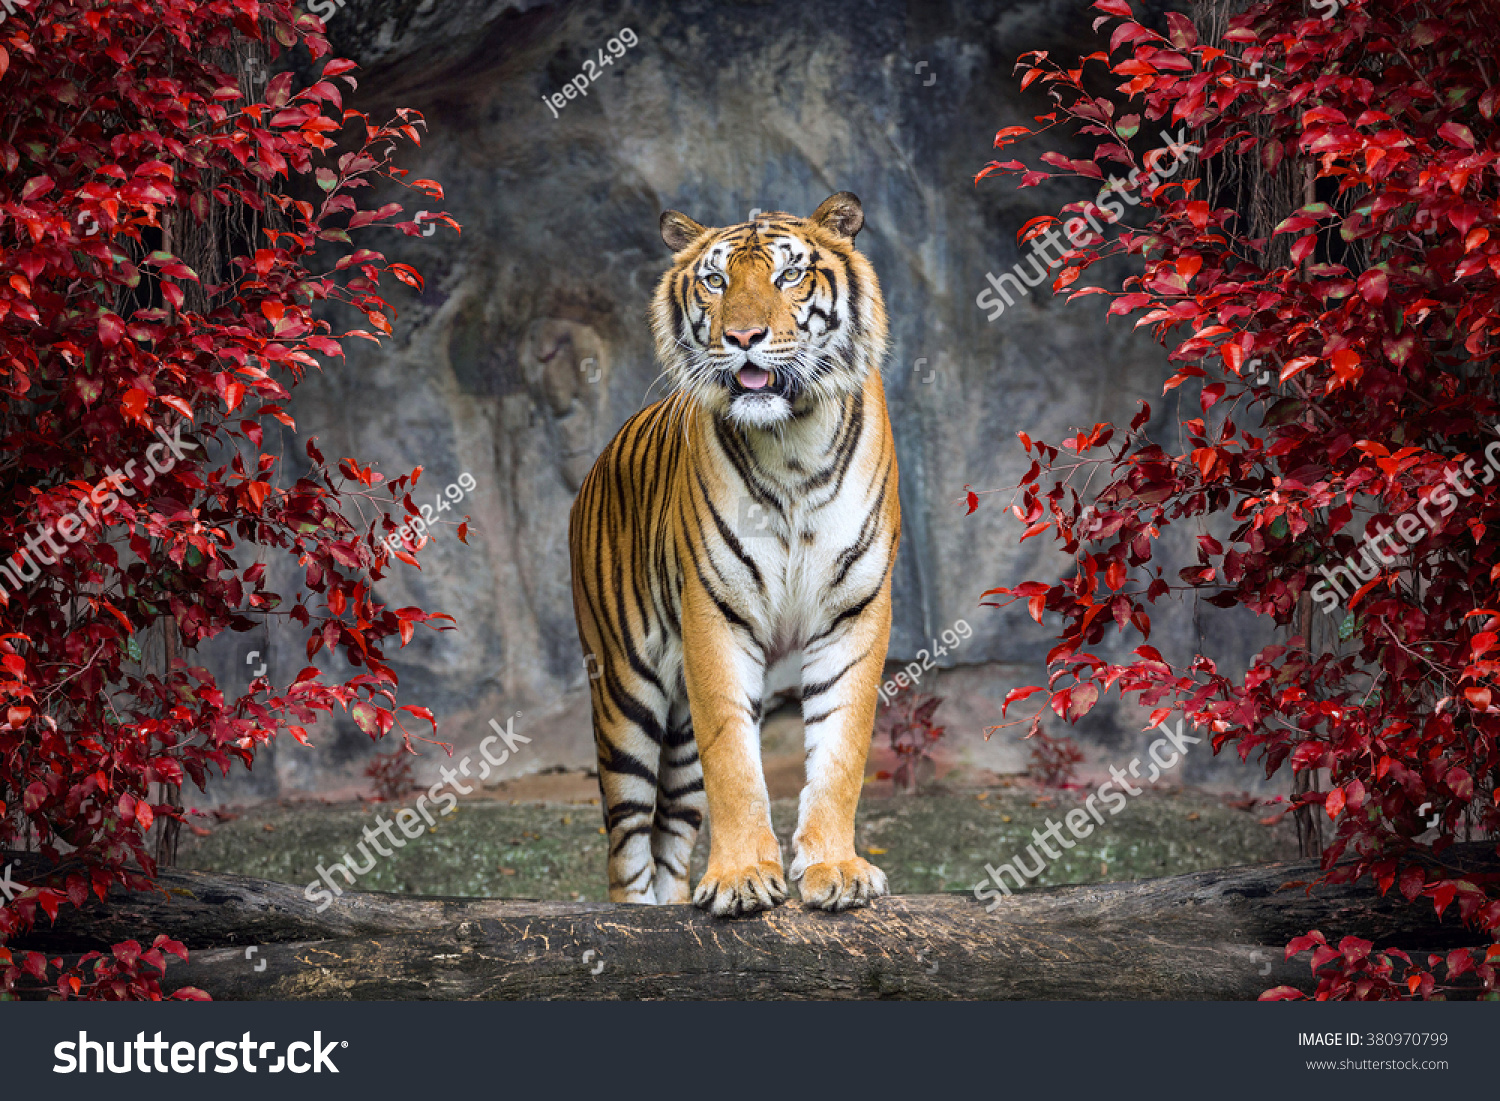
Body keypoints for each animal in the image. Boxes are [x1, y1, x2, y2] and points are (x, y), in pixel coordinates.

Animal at [568, 192, 900, 916]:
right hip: (624, 693)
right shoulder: (714, 614)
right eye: (716, 281)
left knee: (669, 837)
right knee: (627, 845)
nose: (743, 337)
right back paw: (632, 917)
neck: (794, 443)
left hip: (676, 736)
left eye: (788, 276)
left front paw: (835, 869)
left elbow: (840, 750)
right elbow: (736, 762)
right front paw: (744, 876)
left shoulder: (855, 610)